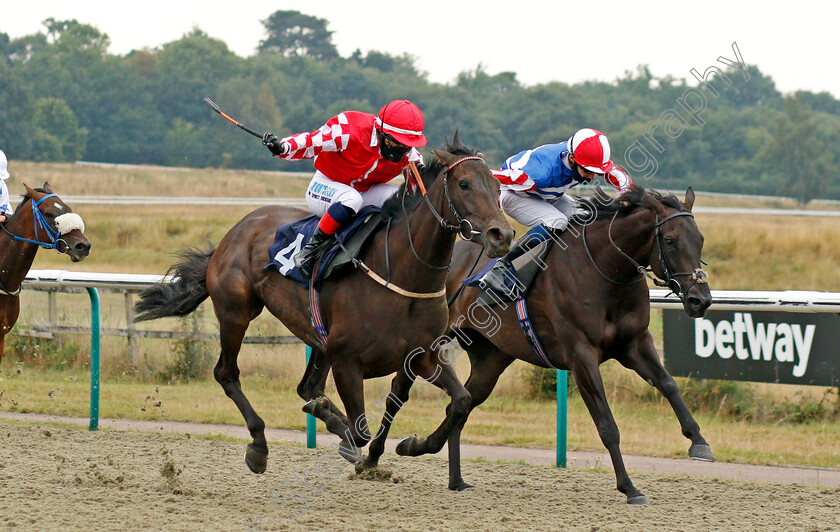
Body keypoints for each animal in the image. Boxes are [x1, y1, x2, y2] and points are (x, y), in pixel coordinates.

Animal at [135, 136, 516, 474]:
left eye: (498, 187)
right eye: (464, 184)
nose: (502, 235)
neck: (402, 273)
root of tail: (236, 230)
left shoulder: (422, 355)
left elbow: (461, 402)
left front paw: (412, 444)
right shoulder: (347, 361)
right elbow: (360, 431)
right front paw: (352, 443)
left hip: (316, 335)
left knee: (307, 387)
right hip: (236, 312)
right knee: (227, 374)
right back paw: (259, 446)